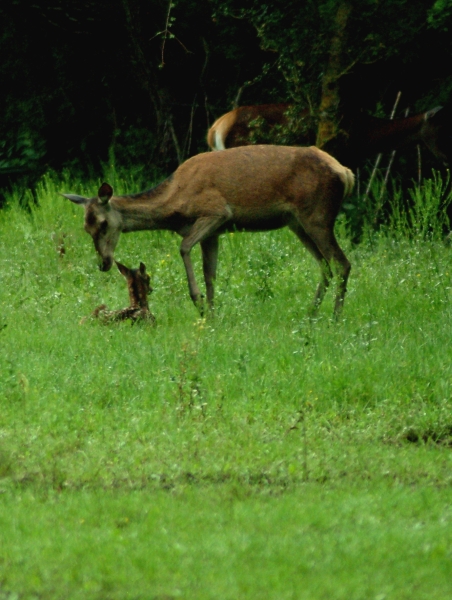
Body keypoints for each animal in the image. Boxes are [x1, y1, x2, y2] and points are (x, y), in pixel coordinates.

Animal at [62, 144, 354, 316]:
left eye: (103, 224)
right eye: (86, 227)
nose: (103, 263)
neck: (175, 203)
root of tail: (346, 173)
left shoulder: (216, 212)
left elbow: (184, 248)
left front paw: (199, 302)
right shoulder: (214, 233)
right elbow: (210, 273)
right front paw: (212, 314)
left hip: (316, 214)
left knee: (342, 263)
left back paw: (335, 317)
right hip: (297, 222)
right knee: (326, 266)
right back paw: (311, 313)